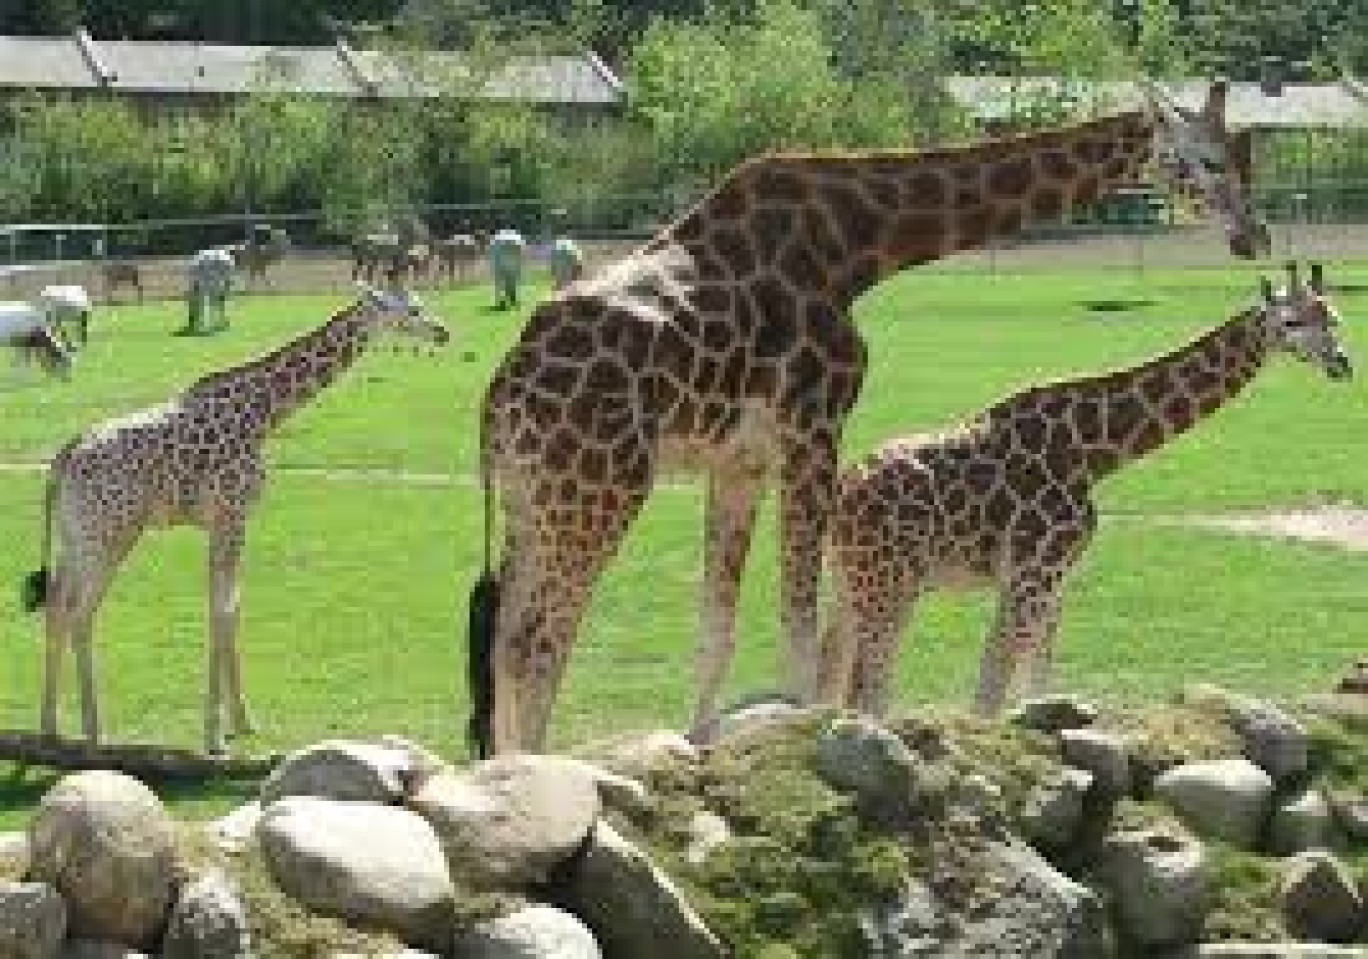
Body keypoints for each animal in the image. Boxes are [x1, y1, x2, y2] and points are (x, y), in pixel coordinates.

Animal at [20, 284, 448, 755]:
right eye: (412, 310)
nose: (442, 331)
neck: (264, 414)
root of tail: (62, 458)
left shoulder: (227, 522)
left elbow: (232, 605)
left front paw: (242, 721)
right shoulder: (231, 515)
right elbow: (221, 608)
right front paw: (214, 737)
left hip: (75, 537)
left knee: (56, 605)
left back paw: (49, 726)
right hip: (111, 535)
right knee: (81, 613)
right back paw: (95, 733)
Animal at [467, 78, 1269, 755]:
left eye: (1243, 161)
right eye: (1206, 160)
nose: (1253, 236)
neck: (856, 244)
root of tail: (500, 397)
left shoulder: (740, 457)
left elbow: (717, 630)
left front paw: (703, 743)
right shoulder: (814, 423)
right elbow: (800, 627)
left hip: (534, 498)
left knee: (503, 638)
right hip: (601, 489)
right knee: (538, 642)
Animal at [815, 261, 1351, 716]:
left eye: (1335, 318)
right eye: (1291, 323)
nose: (1341, 363)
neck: (1094, 455)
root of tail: (840, 495)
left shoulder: (1056, 580)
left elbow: (1036, 686)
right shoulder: (1030, 575)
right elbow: (991, 692)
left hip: (851, 581)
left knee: (831, 676)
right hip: (889, 584)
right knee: (866, 692)